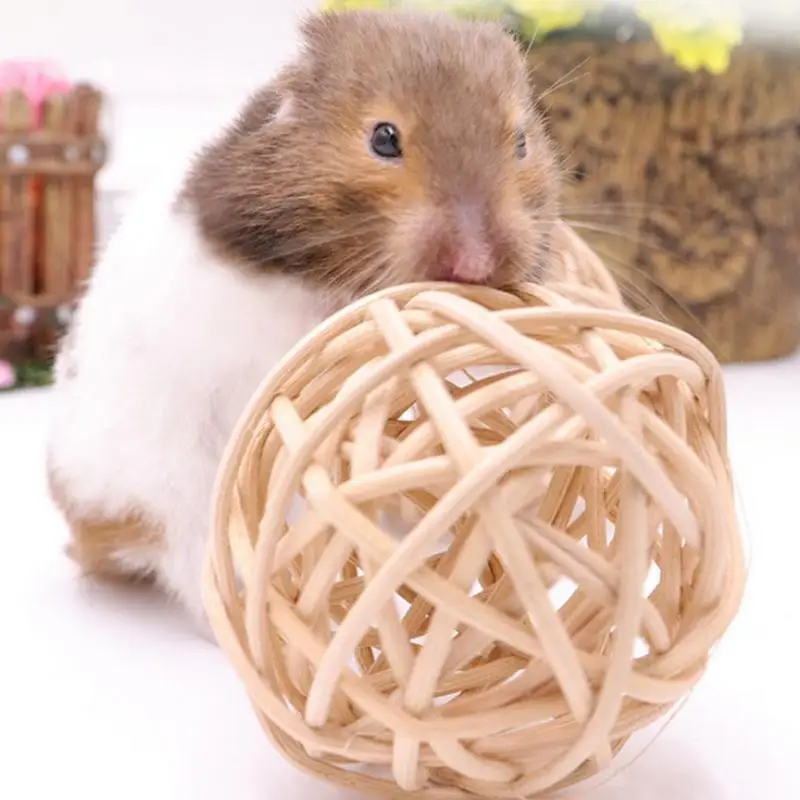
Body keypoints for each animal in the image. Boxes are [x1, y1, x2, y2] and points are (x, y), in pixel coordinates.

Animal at [46, 9, 562, 636]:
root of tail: (89, 525)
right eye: (383, 138)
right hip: (179, 491)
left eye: (521, 142)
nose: (476, 264)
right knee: (200, 579)